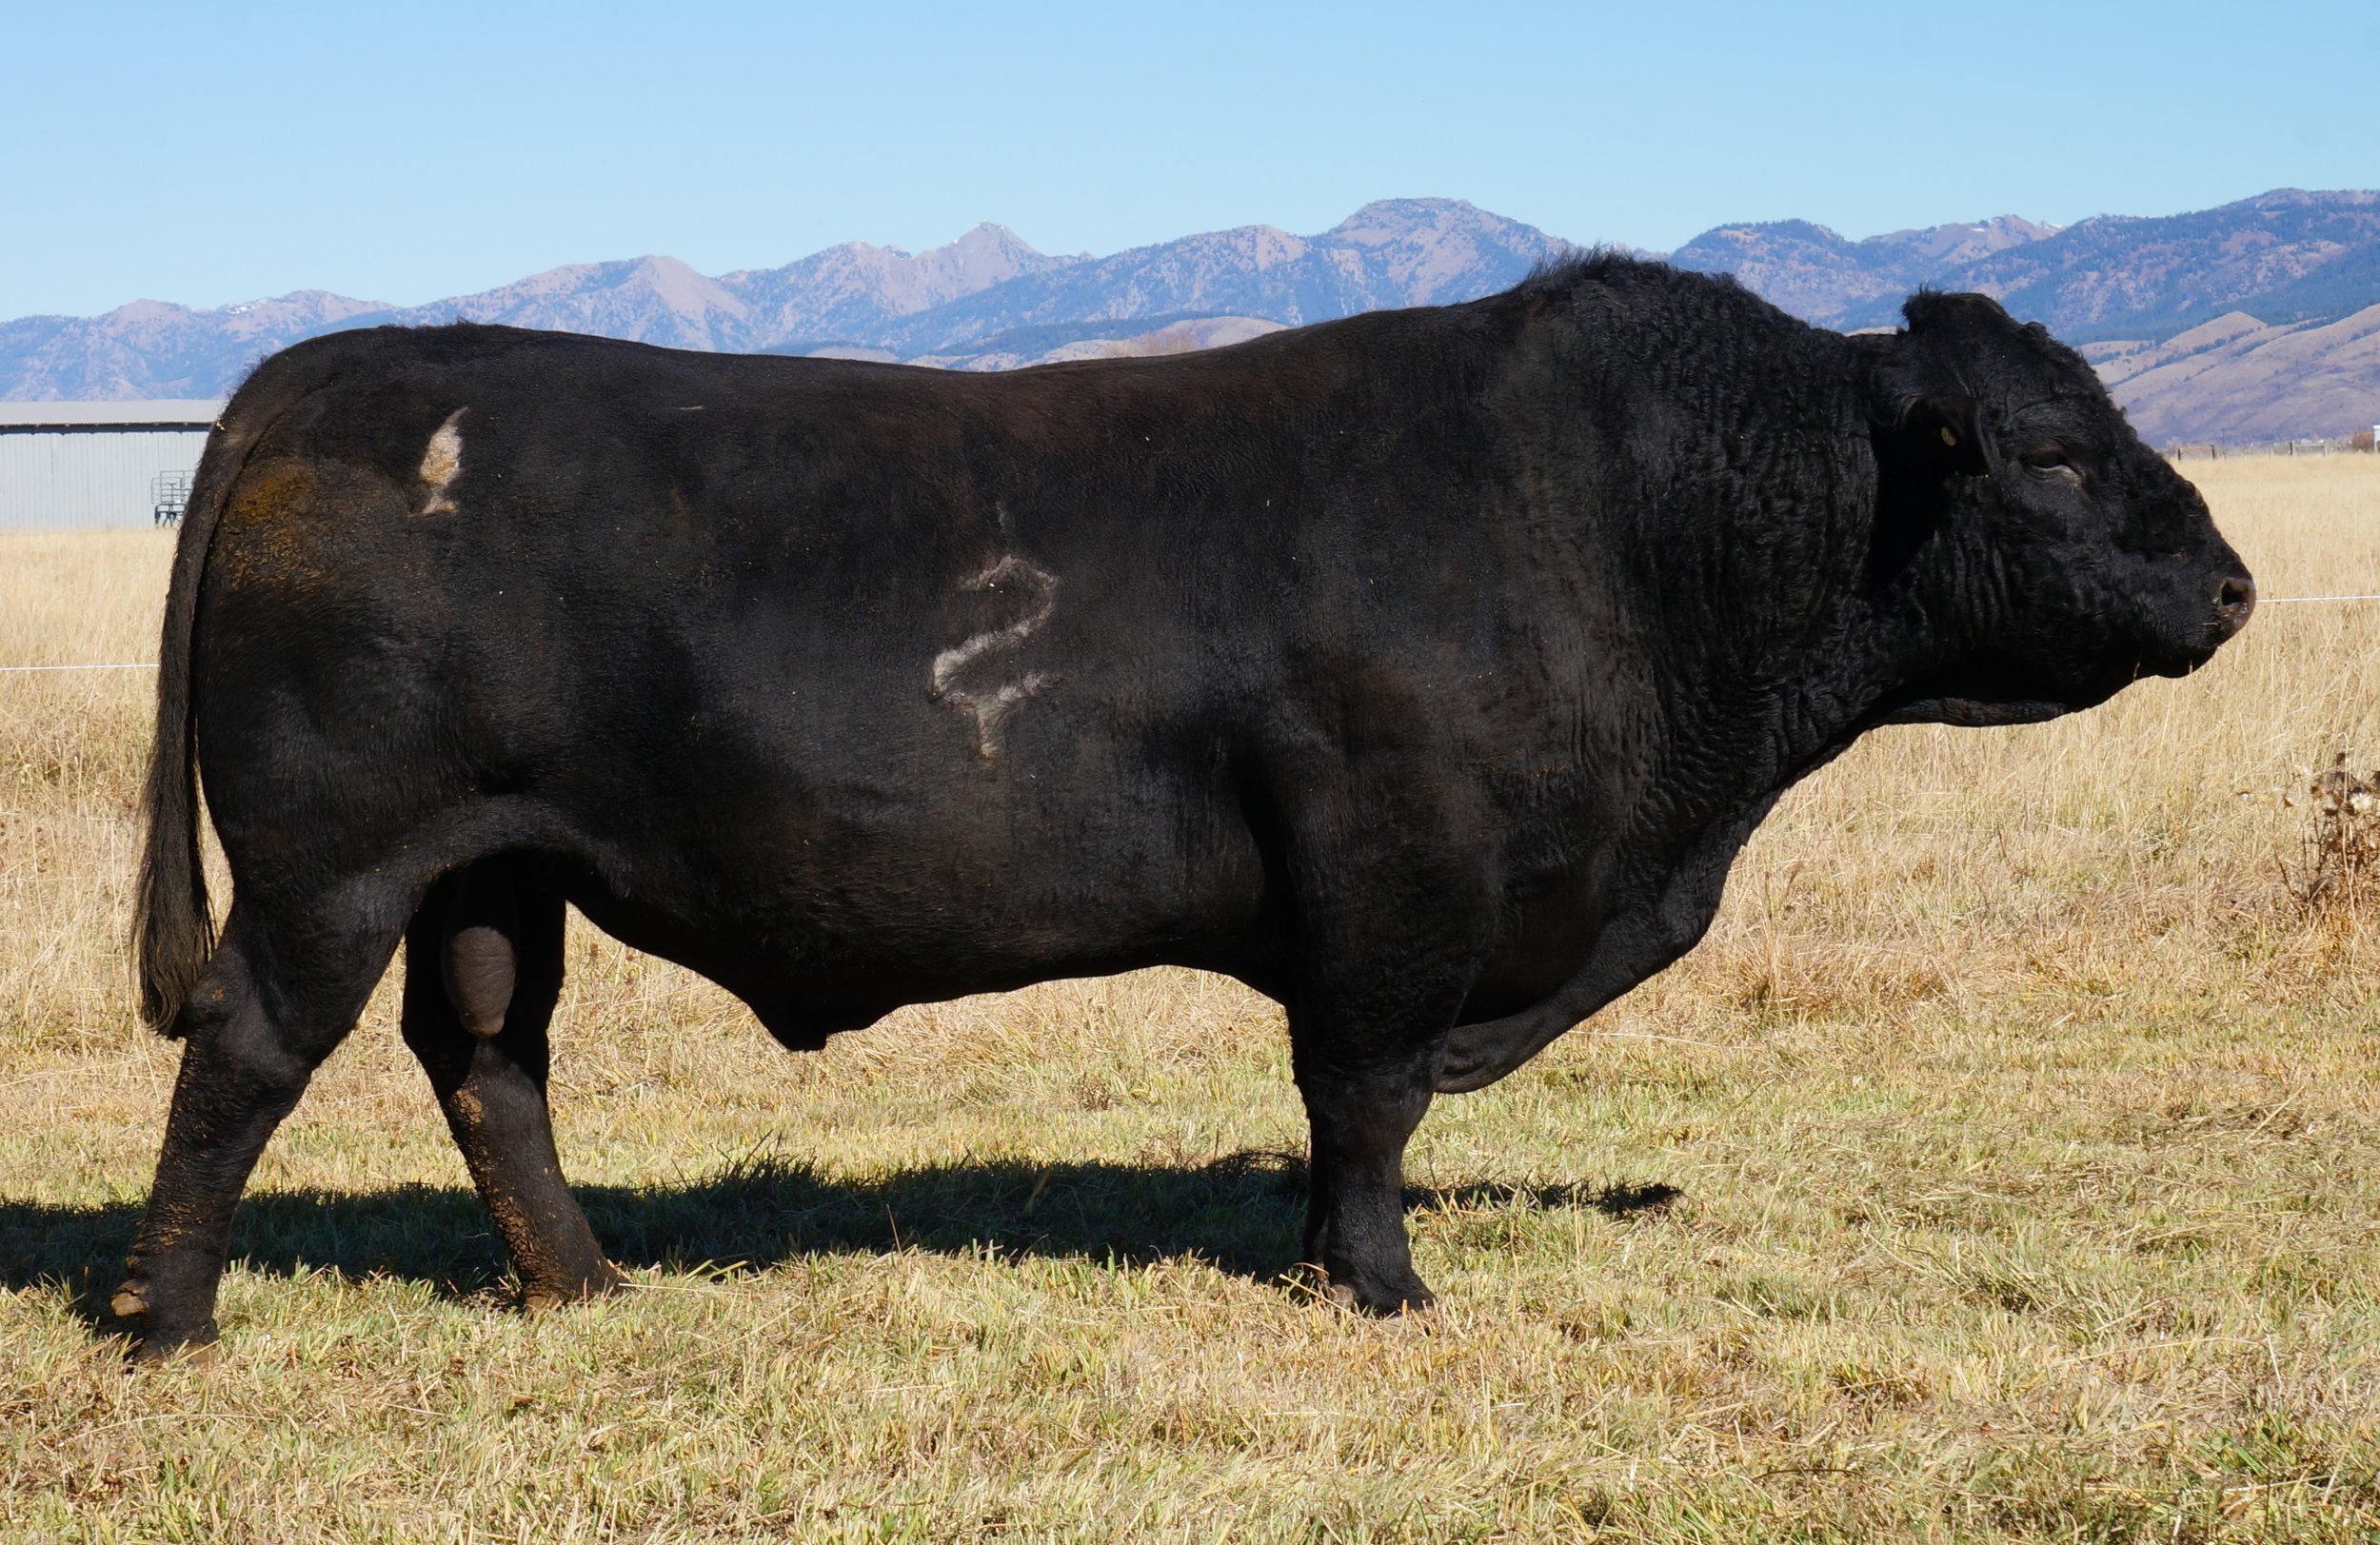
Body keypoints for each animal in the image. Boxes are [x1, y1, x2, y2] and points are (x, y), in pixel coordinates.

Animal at [112, 255, 2254, 1357]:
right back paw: (170, 1316)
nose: (2228, 583)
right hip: (329, 864)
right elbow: (1365, 1099)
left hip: (494, 866)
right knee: (248, 1051)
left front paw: (1323, 1258)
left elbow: (1336, 1113)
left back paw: (583, 1280)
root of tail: (349, 363)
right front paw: (1380, 1285)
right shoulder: (1395, 892)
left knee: (488, 1058)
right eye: (2056, 454)